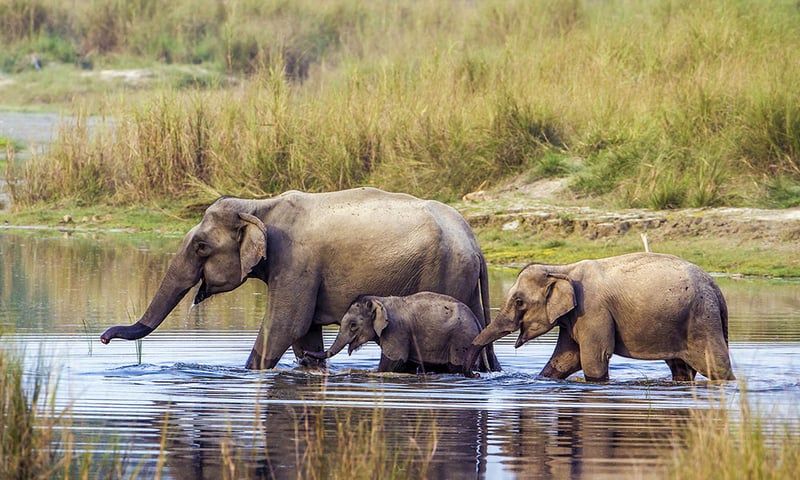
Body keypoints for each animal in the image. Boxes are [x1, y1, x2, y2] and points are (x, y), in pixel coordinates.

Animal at [305, 292, 486, 374]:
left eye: (353, 325)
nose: (305, 354)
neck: (380, 300)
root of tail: (477, 321)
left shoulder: (396, 331)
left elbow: (393, 363)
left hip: (461, 340)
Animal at [464, 252, 735, 382]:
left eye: (519, 301)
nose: (476, 374)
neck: (562, 269)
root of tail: (716, 289)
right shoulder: (574, 316)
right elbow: (565, 359)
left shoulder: (593, 310)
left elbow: (593, 358)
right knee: (681, 369)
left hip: (701, 319)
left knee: (716, 365)